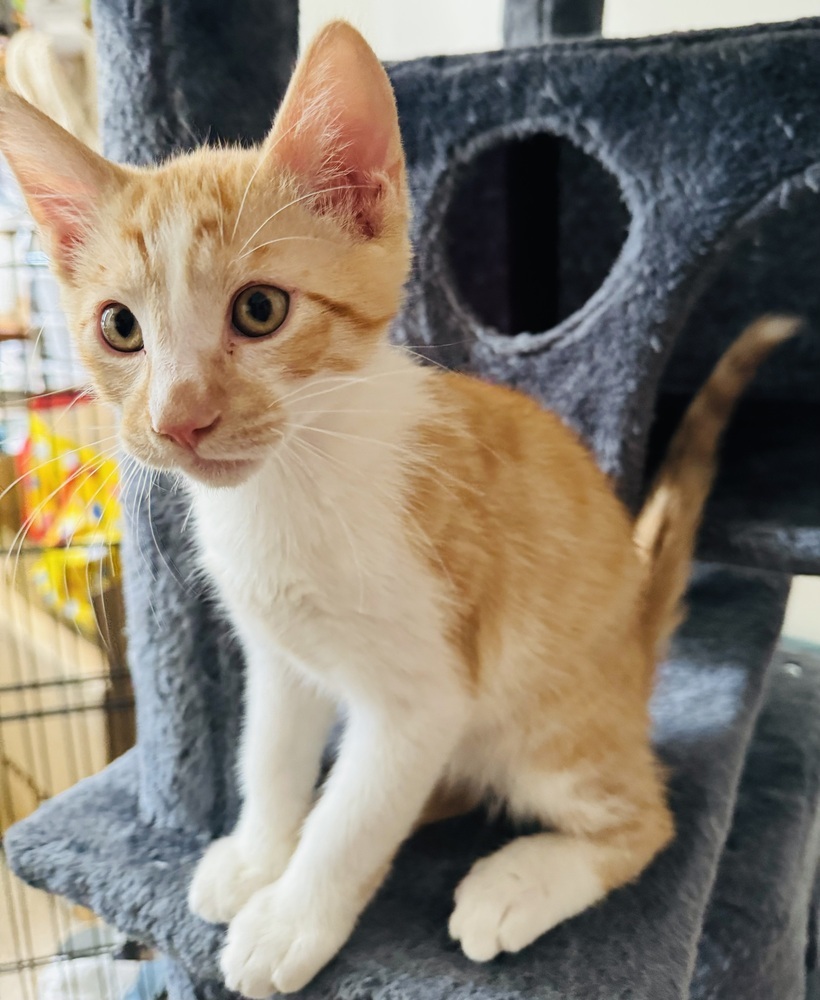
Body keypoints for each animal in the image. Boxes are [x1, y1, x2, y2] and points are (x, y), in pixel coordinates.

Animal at [0, 19, 796, 996]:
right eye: (119, 328)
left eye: (259, 310)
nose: (178, 419)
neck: (287, 492)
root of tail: (639, 641)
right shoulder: (279, 657)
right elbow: (270, 756)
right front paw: (261, 851)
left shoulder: (427, 690)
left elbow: (354, 821)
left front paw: (292, 918)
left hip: (549, 715)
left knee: (644, 818)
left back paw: (516, 882)